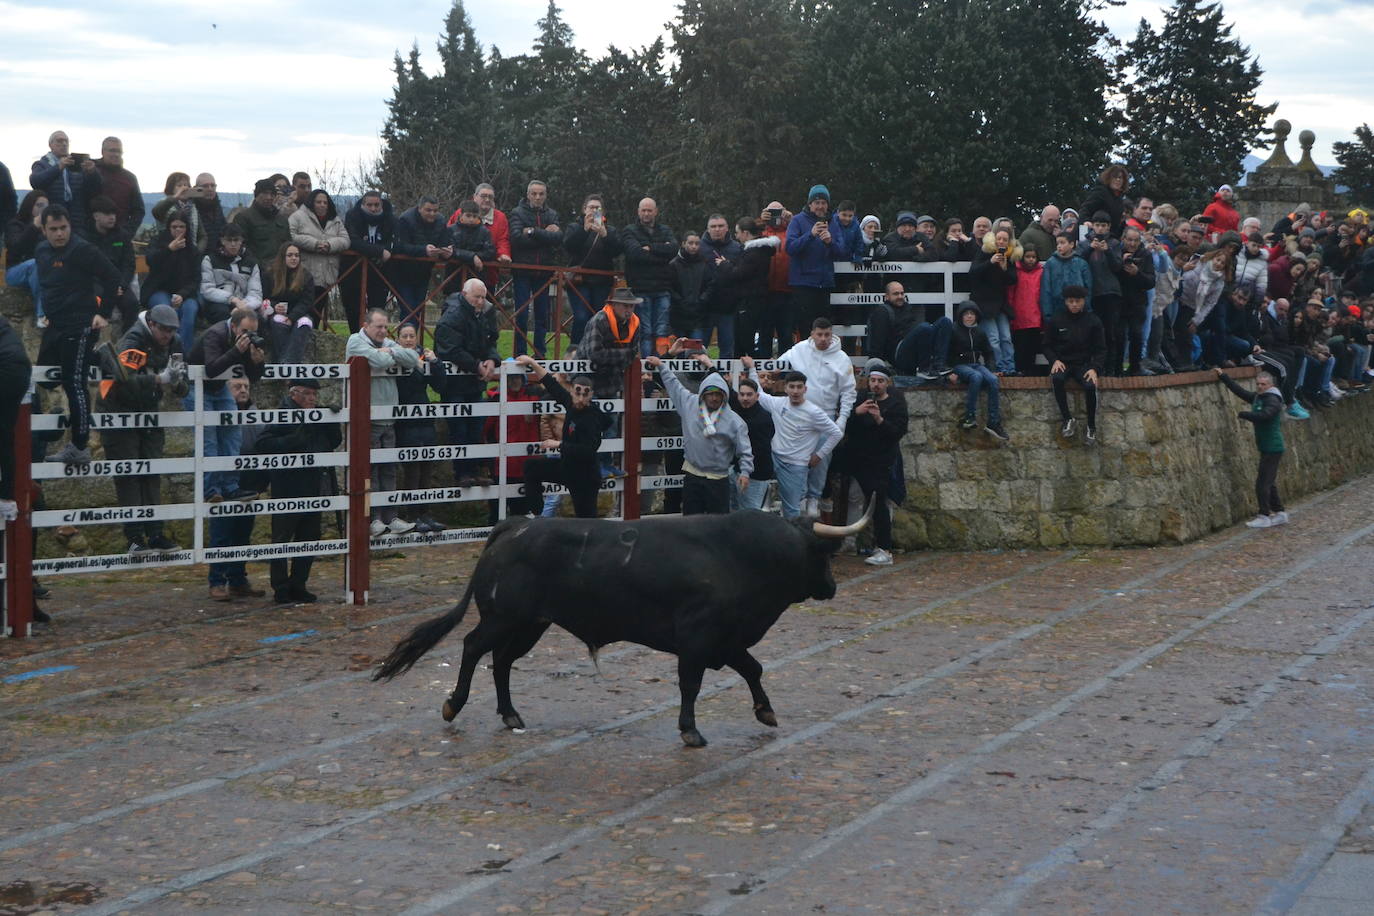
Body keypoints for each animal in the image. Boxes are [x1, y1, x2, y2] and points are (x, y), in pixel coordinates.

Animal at [370, 505, 873, 747]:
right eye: (823, 556)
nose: (831, 587)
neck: (742, 555)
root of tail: (514, 527)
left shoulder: (727, 640)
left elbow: (753, 669)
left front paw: (765, 712)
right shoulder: (698, 639)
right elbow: (690, 684)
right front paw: (690, 730)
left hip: (531, 624)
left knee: (502, 661)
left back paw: (511, 715)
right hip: (503, 617)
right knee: (474, 648)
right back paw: (453, 705)